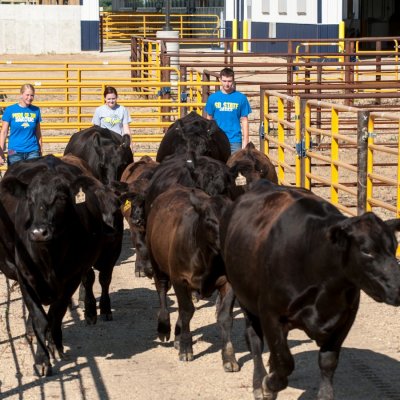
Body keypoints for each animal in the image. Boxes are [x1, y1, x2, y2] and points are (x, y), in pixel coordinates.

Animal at [0, 155, 123, 376]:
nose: (39, 232)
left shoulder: (72, 277)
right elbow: (39, 318)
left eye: (61, 198)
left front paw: (55, 346)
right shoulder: (25, 277)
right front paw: (41, 360)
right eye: (29, 199)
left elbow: (56, 314)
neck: (49, 257)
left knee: (98, 280)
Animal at [147, 185, 239, 372]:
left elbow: (225, 317)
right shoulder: (179, 279)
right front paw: (186, 348)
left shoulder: (228, 283)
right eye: (210, 220)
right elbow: (187, 311)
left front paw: (229, 357)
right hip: (157, 264)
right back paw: (164, 327)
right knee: (162, 291)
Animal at [222, 180, 400, 400]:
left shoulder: (344, 319)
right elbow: (285, 363)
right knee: (254, 339)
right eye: (367, 251)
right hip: (245, 298)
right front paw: (268, 385)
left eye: (394, 246)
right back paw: (259, 381)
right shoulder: (270, 314)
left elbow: (327, 361)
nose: (398, 289)